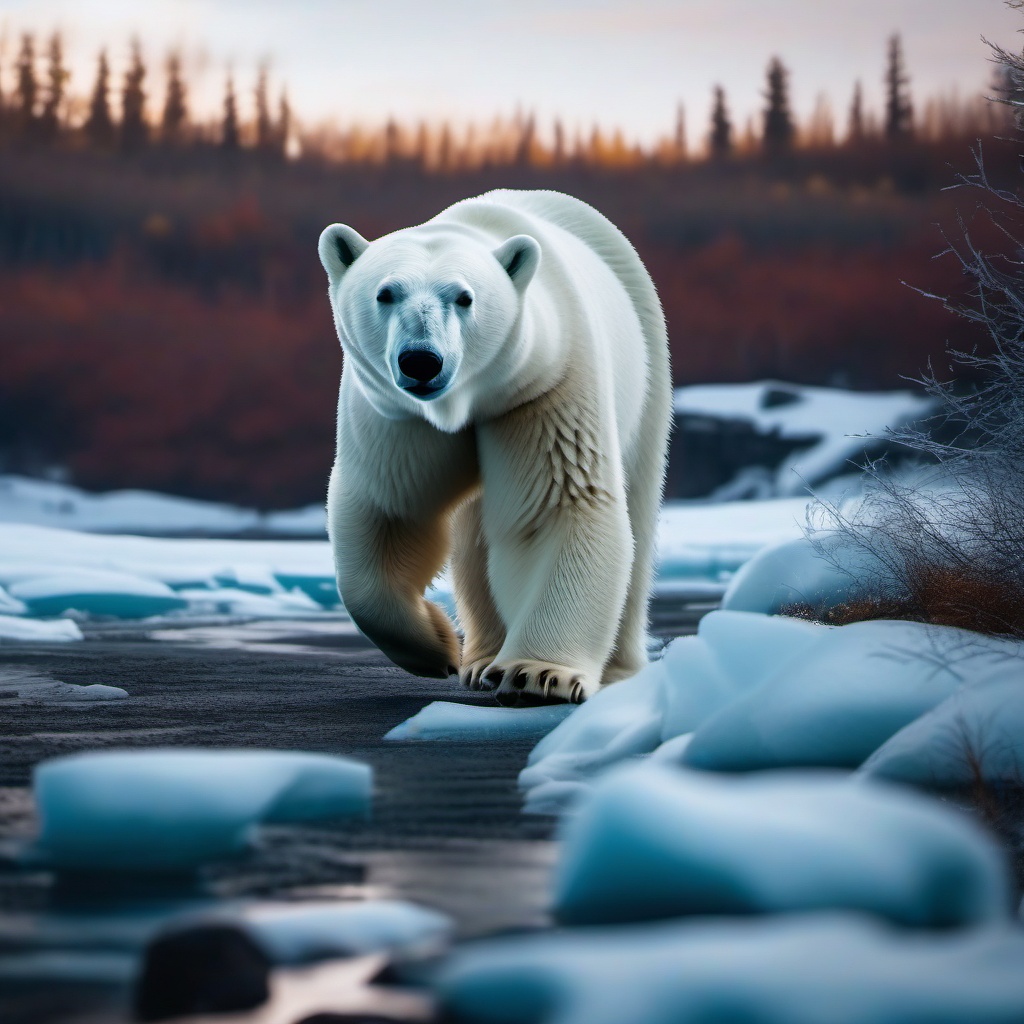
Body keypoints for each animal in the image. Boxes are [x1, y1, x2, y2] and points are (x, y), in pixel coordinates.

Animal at [319, 188, 671, 704]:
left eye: (464, 297)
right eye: (385, 293)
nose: (421, 361)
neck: (468, 401)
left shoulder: (544, 387)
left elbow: (558, 507)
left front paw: (537, 676)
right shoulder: (399, 417)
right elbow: (392, 510)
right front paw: (436, 647)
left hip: (646, 368)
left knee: (639, 505)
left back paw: (619, 669)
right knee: (474, 539)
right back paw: (480, 659)